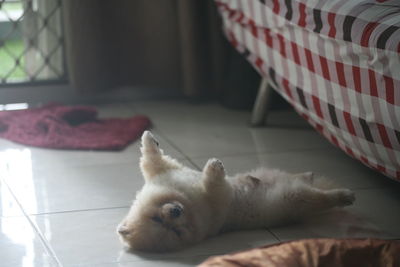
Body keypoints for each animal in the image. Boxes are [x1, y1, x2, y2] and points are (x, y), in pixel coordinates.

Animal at [117, 132, 354, 253]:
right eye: (177, 233)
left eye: (156, 219)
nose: (175, 212)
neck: (187, 202)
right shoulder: (219, 201)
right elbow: (214, 185)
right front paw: (214, 168)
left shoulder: (166, 174)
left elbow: (150, 158)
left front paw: (148, 136)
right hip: (296, 197)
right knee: (321, 197)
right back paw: (345, 195)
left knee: (303, 177)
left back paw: (309, 173)